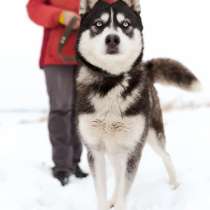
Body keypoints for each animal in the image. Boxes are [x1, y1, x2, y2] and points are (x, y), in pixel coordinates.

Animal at [75, 0, 200, 209]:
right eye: (98, 24)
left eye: (125, 24)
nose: (112, 39)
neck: (112, 83)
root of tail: (146, 70)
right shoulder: (95, 150)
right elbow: (103, 191)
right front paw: (108, 201)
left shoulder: (133, 149)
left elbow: (123, 192)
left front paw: (118, 202)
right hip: (115, 149)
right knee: (118, 174)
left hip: (151, 135)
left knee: (166, 156)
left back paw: (175, 184)